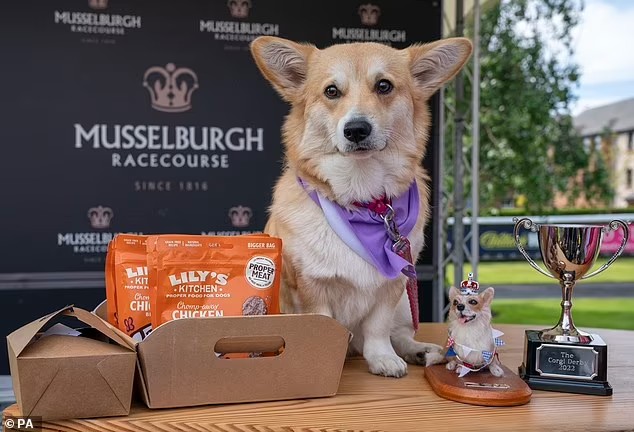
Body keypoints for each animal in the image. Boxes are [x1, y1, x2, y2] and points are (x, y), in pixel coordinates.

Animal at [249, 36, 472, 374]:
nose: (356, 129)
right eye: (331, 91)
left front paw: (382, 358)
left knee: (400, 334)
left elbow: (378, 329)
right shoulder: (312, 287)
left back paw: (419, 351)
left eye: (384, 86)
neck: (363, 199)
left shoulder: (392, 286)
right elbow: (323, 325)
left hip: (406, 304)